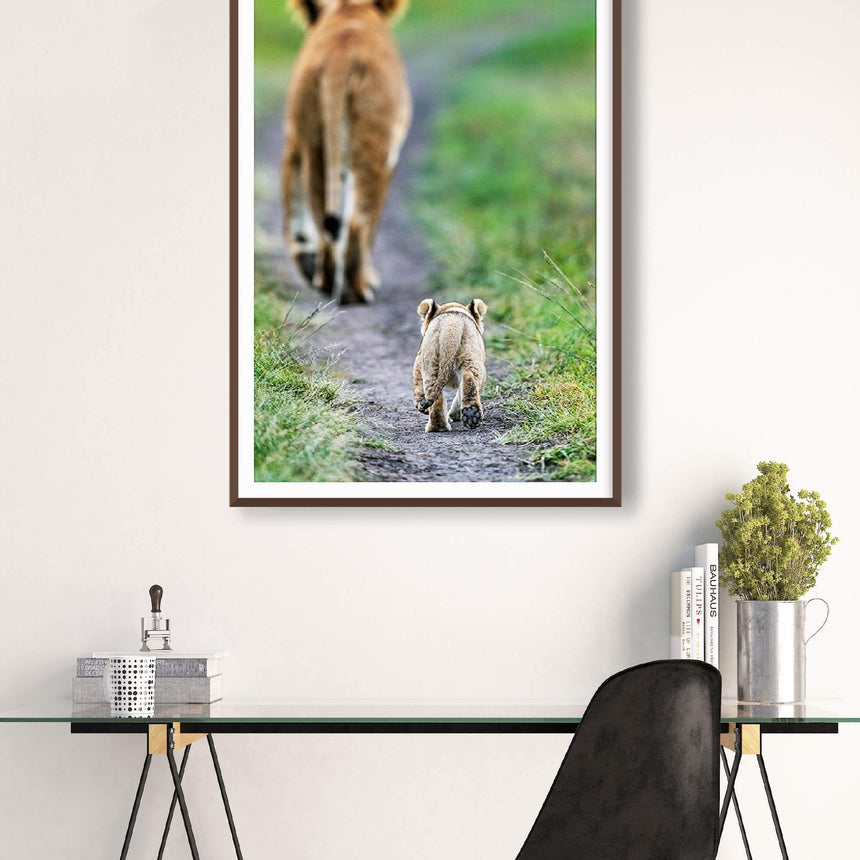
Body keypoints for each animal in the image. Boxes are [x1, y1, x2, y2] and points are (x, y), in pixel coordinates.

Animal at [282, 0, 412, 304]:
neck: (349, 10)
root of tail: (340, 56)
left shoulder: (294, 140)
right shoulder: (390, 159)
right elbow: (373, 221)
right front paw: (372, 277)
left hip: (314, 138)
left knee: (322, 216)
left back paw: (326, 282)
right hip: (374, 145)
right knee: (357, 222)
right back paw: (358, 289)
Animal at [413, 299, 488, 433]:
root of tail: (452, 323)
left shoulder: (418, 362)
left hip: (431, 363)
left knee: (436, 394)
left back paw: (439, 427)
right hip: (471, 359)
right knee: (468, 376)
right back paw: (470, 414)